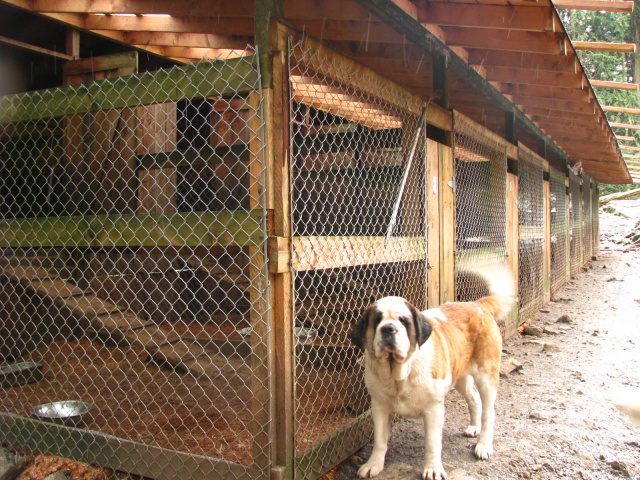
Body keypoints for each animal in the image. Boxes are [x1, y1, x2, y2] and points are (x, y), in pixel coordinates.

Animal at [350, 266, 516, 480]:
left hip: (487, 375)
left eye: (403, 321)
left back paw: (483, 445)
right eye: (377, 321)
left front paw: (433, 469)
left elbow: (432, 443)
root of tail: (476, 304)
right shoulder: (379, 407)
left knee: (489, 411)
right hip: (460, 377)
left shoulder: (433, 409)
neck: (400, 376)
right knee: (474, 399)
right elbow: (379, 440)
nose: (388, 328)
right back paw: (473, 427)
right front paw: (374, 464)